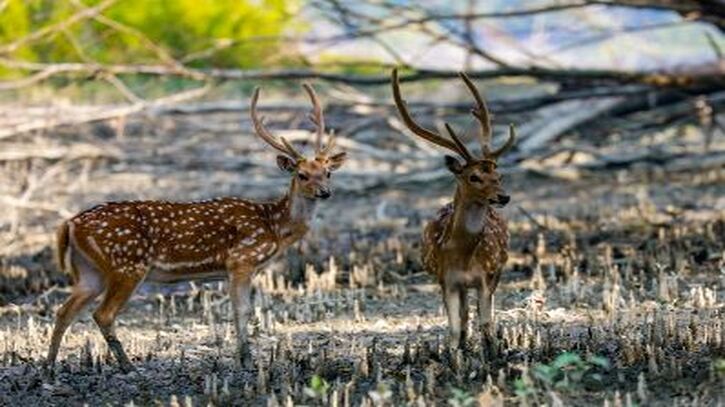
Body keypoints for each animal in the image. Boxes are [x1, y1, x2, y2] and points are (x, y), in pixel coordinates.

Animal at [46, 83, 346, 372]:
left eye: (328, 173)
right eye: (302, 175)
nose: (325, 192)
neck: (274, 225)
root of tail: (70, 223)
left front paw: (244, 360)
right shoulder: (241, 261)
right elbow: (241, 311)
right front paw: (247, 362)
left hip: (90, 271)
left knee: (64, 311)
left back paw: (49, 368)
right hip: (126, 265)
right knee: (103, 314)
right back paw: (128, 366)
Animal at [390, 68, 516, 350]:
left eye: (499, 175)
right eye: (473, 177)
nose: (504, 196)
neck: (462, 257)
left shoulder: (485, 277)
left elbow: (487, 325)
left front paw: (493, 354)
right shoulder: (445, 280)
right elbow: (454, 331)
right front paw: (456, 354)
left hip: (498, 269)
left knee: (481, 314)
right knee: (464, 316)